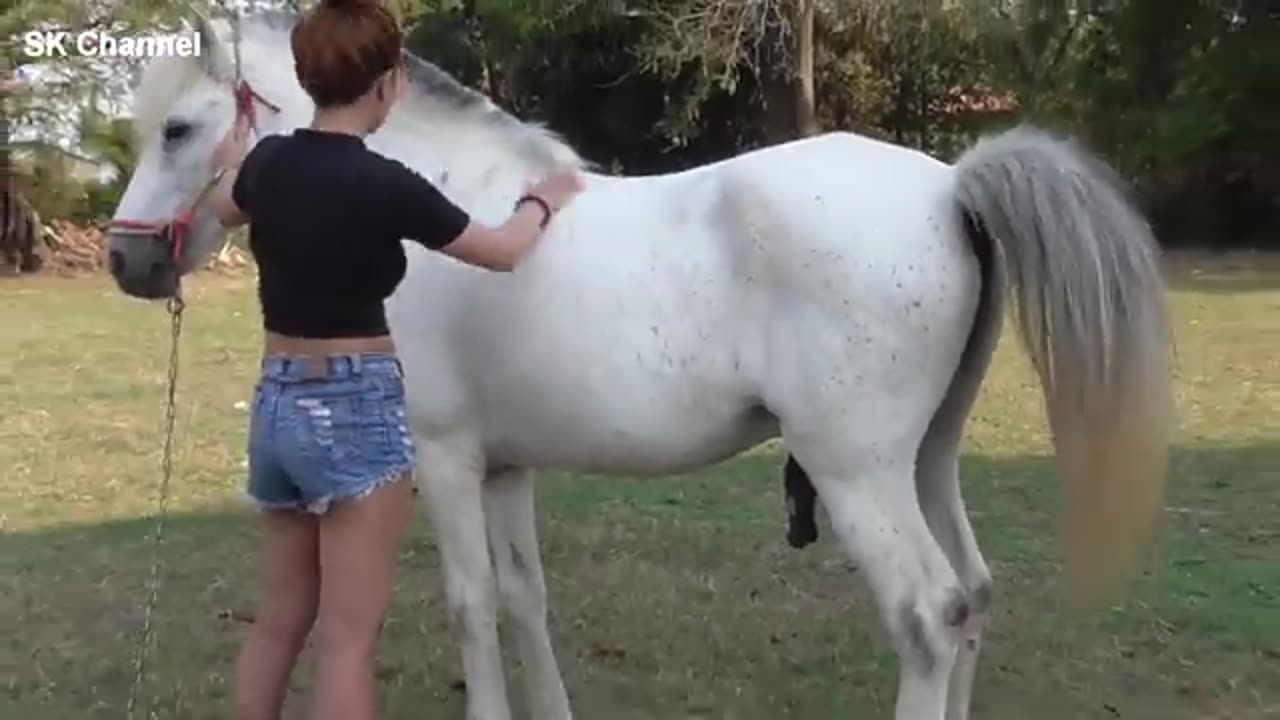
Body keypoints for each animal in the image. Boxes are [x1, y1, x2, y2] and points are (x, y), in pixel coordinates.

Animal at [107, 11, 1172, 717]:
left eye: (178, 128)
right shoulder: (505, 469)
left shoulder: (444, 460)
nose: (126, 260)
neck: (442, 201)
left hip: (856, 473)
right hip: (927, 458)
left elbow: (470, 605)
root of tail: (954, 187)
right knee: (975, 595)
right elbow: (524, 599)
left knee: (929, 612)